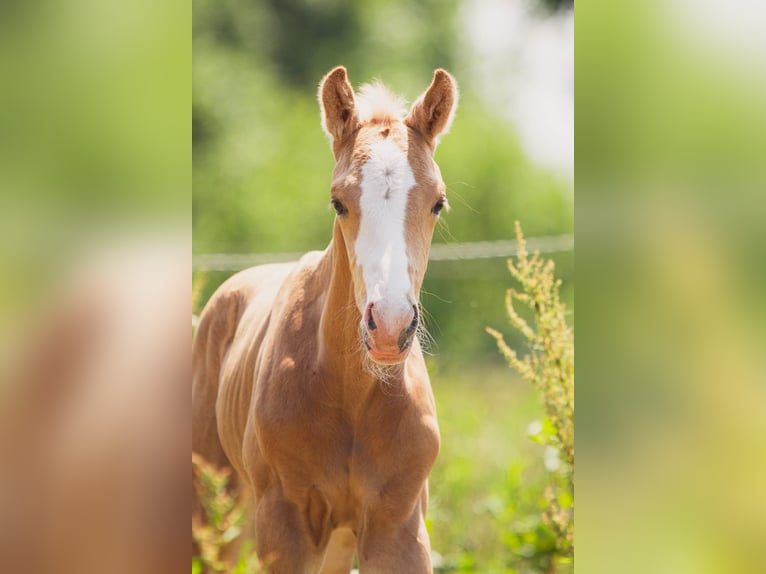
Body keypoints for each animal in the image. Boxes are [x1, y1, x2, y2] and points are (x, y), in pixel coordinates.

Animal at [192, 66, 458, 573]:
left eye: (438, 202)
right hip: (215, 511)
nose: (390, 327)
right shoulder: (286, 528)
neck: (350, 390)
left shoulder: (398, 527)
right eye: (339, 202)